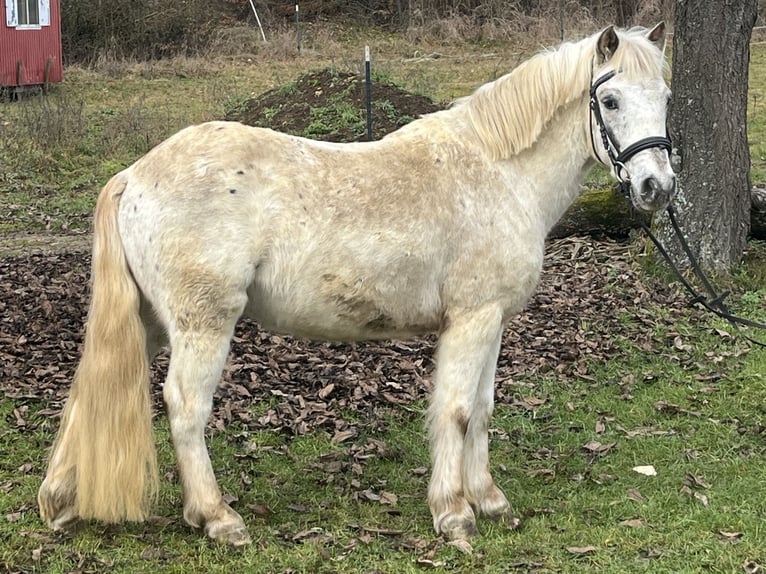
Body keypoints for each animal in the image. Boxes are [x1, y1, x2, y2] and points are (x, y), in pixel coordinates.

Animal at [38, 23, 675, 545]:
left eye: (666, 98)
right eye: (610, 100)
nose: (656, 187)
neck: (498, 171)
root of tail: (133, 175)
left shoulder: (491, 320)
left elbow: (484, 408)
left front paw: (489, 500)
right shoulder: (471, 319)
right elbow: (457, 410)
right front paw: (453, 513)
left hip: (148, 322)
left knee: (89, 389)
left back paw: (61, 501)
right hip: (203, 324)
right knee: (185, 406)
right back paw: (218, 517)